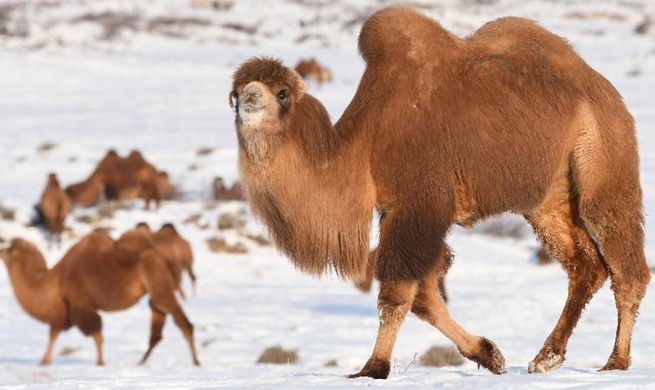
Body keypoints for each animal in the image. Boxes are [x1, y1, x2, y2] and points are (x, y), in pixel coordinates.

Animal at [0, 233, 200, 368]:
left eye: (10, 249)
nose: (1, 249)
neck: (55, 279)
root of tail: (167, 258)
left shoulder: (80, 303)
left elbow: (96, 333)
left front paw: (100, 363)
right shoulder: (65, 309)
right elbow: (55, 332)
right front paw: (44, 361)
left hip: (158, 282)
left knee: (183, 323)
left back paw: (196, 362)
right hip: (156, 291)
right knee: (157, 327)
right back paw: (141, 363)